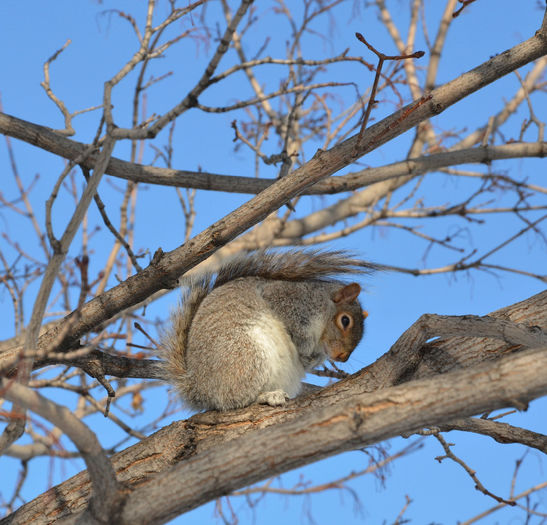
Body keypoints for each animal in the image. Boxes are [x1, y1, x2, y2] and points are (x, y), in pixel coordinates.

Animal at [158, 251, 372, 414]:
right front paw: (303, 349)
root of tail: (200, 388)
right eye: (345, 321)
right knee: (233, 400)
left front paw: (309, 359)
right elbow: (295, 327)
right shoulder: (290, 300)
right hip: (246, 355)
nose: (342, 357)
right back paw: (267, 396)